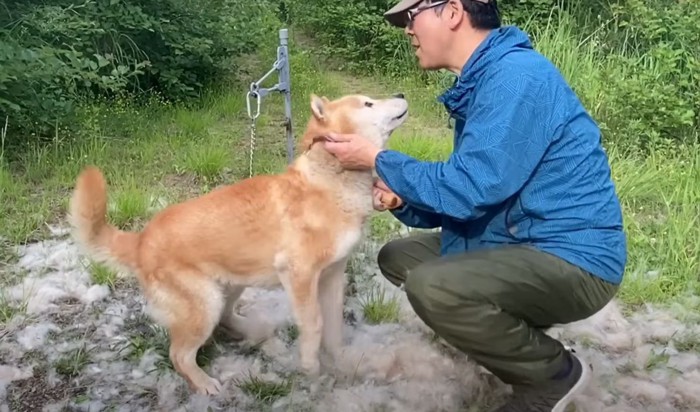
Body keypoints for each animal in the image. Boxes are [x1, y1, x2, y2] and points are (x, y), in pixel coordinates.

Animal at [68, 91, 408, 394]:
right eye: (368, 103)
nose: (402, 94)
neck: (330, 181)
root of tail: (142, 240)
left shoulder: (333, 276)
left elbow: (334, 329)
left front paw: (340, 363)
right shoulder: (299, 276)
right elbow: (314, 326)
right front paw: (311, 368)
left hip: (231, 287)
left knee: (225, 319)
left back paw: (253, 330)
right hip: (205, 304)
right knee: (180, 355)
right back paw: (204, 384)